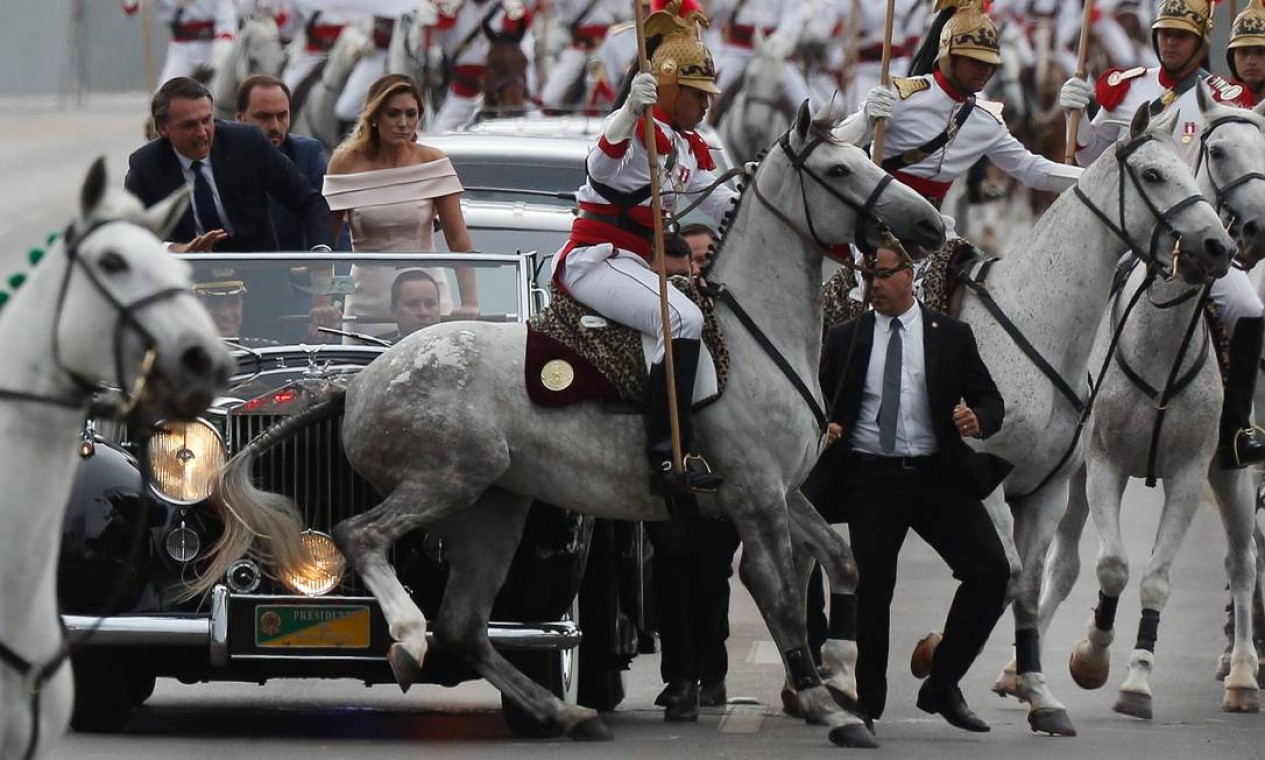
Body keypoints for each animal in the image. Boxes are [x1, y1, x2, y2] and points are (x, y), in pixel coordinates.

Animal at [184, 104, 941, 748]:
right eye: (839, 171)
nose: (931, 226)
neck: (753, 336)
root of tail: (355, 379)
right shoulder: (754, 498)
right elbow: (779, 594)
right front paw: (825, 704)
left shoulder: (782, 492)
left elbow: (841, 560)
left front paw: (840, 672)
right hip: (449, 479)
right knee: (362, 538)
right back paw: (407, 634)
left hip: (497, 506)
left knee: (466, 624)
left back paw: (563, 710)